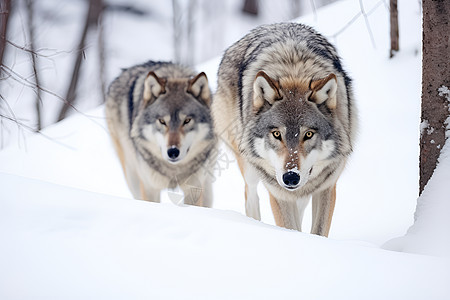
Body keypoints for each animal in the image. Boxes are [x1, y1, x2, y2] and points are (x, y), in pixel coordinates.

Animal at [106, 61, 217, 206]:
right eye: (162, 121)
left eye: (187, 120)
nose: (173, 152)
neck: (173, 170)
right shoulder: (149, 187)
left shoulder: (194, 187)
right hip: (132, 176)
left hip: (208, 185)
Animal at [213, 22, 356, 237]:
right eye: (276, 134)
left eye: (308, 134)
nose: (290, 177)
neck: (294, 71)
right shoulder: (279, 192)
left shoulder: (327, 187)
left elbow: (318, 231)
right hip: (248, 166)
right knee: (250, 196)